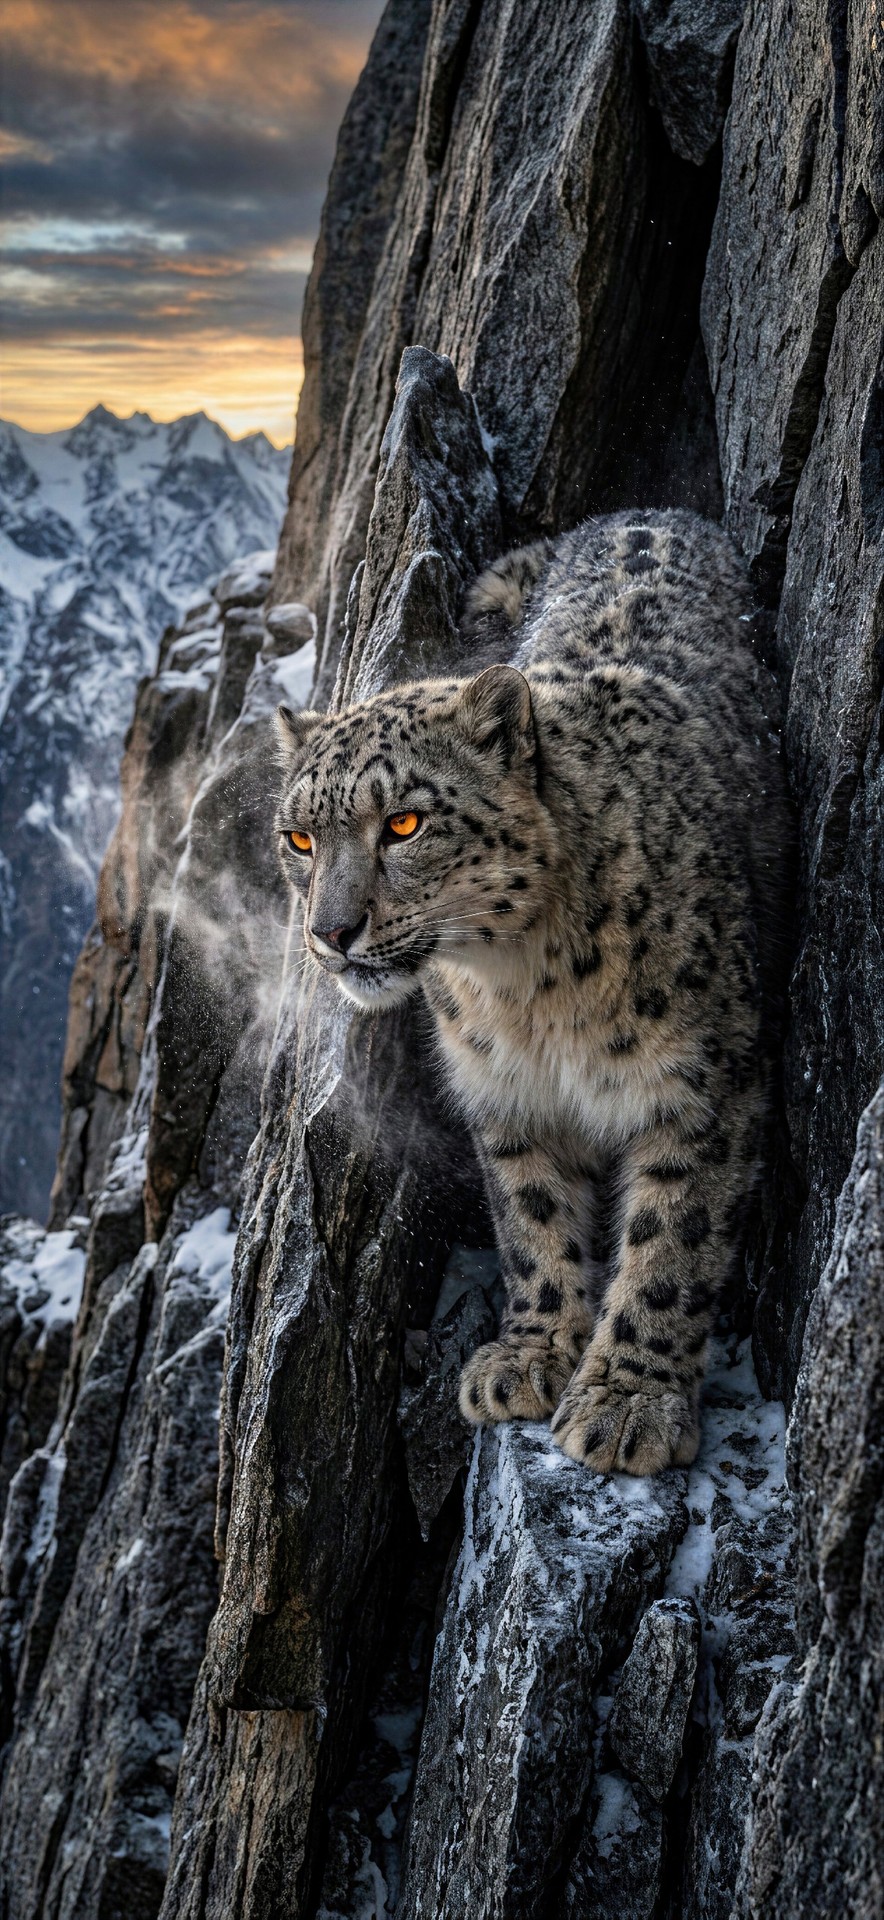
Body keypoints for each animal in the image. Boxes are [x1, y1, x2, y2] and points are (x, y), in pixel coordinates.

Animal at [274, 509, 790, 1475]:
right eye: (299, 838)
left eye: (404, 822)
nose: (330, 933)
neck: (525, 991)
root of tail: (641, 509)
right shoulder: (506, 1091)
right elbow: (533, 1218)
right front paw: (530, 1356)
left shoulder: (704, 1084)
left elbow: (673, 1241)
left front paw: (627, 1402)